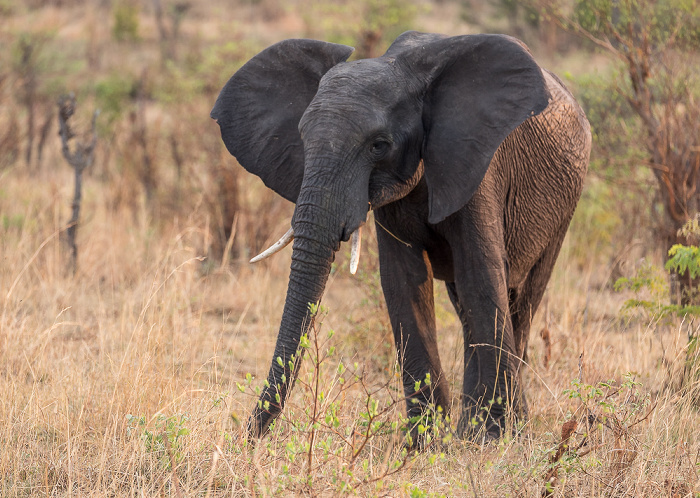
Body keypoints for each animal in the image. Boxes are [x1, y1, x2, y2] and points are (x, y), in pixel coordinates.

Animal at [212, 31, 592, 440]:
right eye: (301, 137)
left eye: (379, 145)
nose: (247, 438)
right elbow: (403, 282)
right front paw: (425, 442)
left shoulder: (479, 167)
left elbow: (481, 276)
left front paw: (492, 438)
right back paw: (468, 428)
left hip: (565, 203)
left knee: (521, 299)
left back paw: (500, 427)